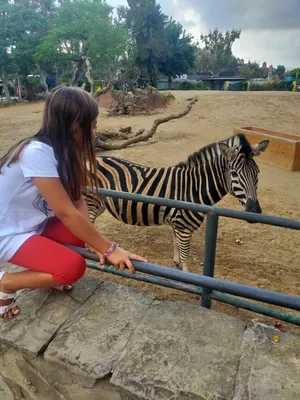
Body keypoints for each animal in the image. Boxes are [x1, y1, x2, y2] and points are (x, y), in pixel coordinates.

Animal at [85, 134, 270, 272]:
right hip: (91, 202)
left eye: (257, 173)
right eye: (234, 173)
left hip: (100, 204)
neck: (194, 187)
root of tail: (95, 158)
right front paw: (189, 279)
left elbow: (177, 246)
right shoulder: (184, 227)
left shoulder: (177, 224)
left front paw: (176, 264)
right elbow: (185, 255)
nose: (254, 211)